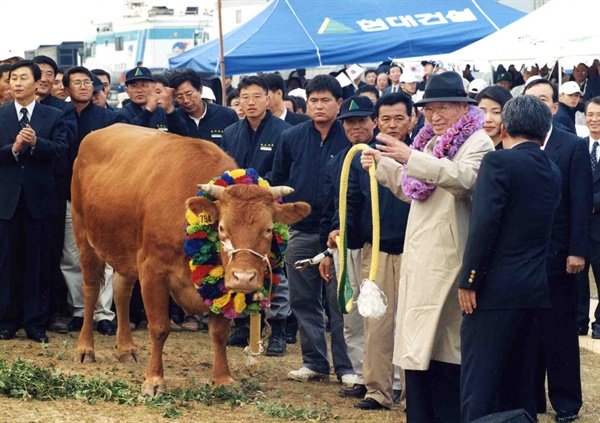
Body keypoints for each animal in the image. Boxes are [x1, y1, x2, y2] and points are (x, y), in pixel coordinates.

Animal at [71, 124, 310, 396]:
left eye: (269, 229)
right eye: (222, 228)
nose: (244, 277)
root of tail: (98, 133)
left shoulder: (218, 283)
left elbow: (219, 332)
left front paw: (223, 379)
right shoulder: (152, 268)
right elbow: (159, 327)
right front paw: (154, 380)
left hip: (125, 250)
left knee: (121, 291)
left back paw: (126, 350)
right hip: (84, 236)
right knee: (90, 289)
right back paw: (85, 349)